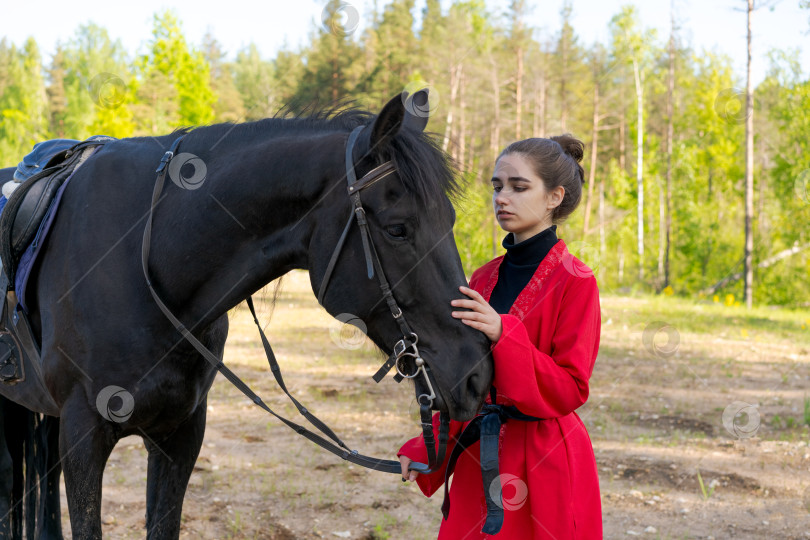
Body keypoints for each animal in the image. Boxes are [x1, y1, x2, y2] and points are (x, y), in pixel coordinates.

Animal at [0, 92, 492, 536]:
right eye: (397, 229)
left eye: (449, 220)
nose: (478, 374)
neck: (142, 259)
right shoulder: (84, 438)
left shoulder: (180, 435)